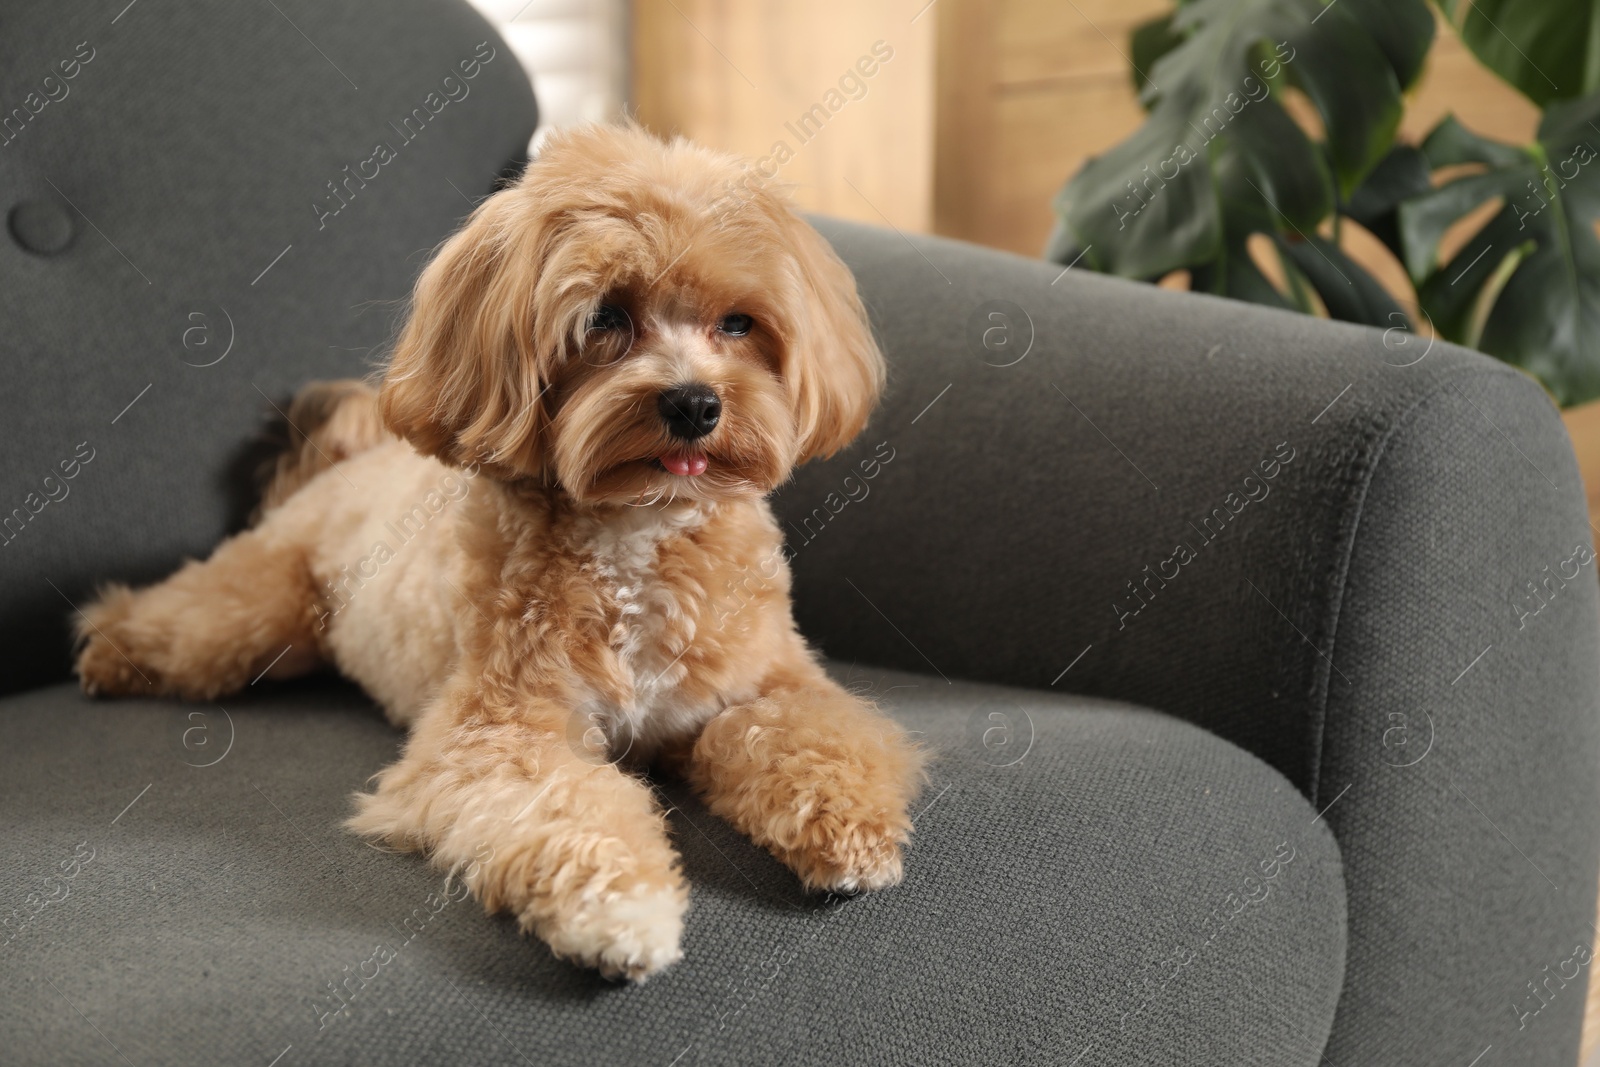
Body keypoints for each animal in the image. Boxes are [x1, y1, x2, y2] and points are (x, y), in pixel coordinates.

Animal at [75, 125, 928, 985]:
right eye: (606, 316)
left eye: (739, 323)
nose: (694, 403)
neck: (637, 532)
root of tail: (349, 461)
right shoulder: (499, 730)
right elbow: (569, 805)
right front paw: (621, 910)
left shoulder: (768, 684)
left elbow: (804, 734)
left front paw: (850, 827)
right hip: (250, 613)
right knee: (171, 617)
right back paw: (107, 652)